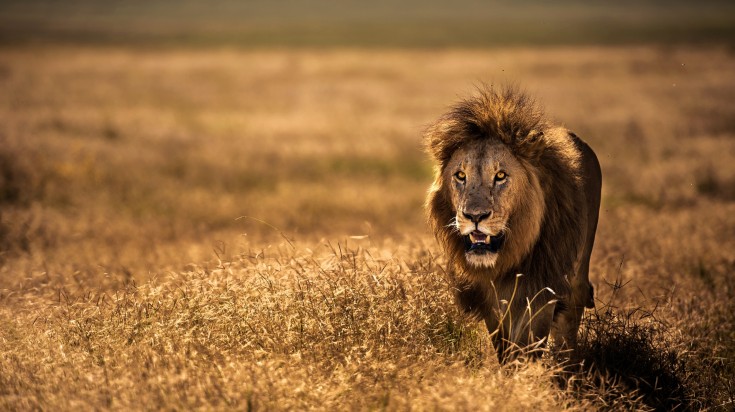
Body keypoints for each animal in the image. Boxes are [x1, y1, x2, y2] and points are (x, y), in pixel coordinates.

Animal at [426, 85, 604, 362]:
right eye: (460, 175)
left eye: (500, 176)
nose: (475, 216)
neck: (506, 260)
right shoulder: (488, 300)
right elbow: (503, 346)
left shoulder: (540, 290)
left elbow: (525, 347)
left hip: (577, 272)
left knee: (569, 321)